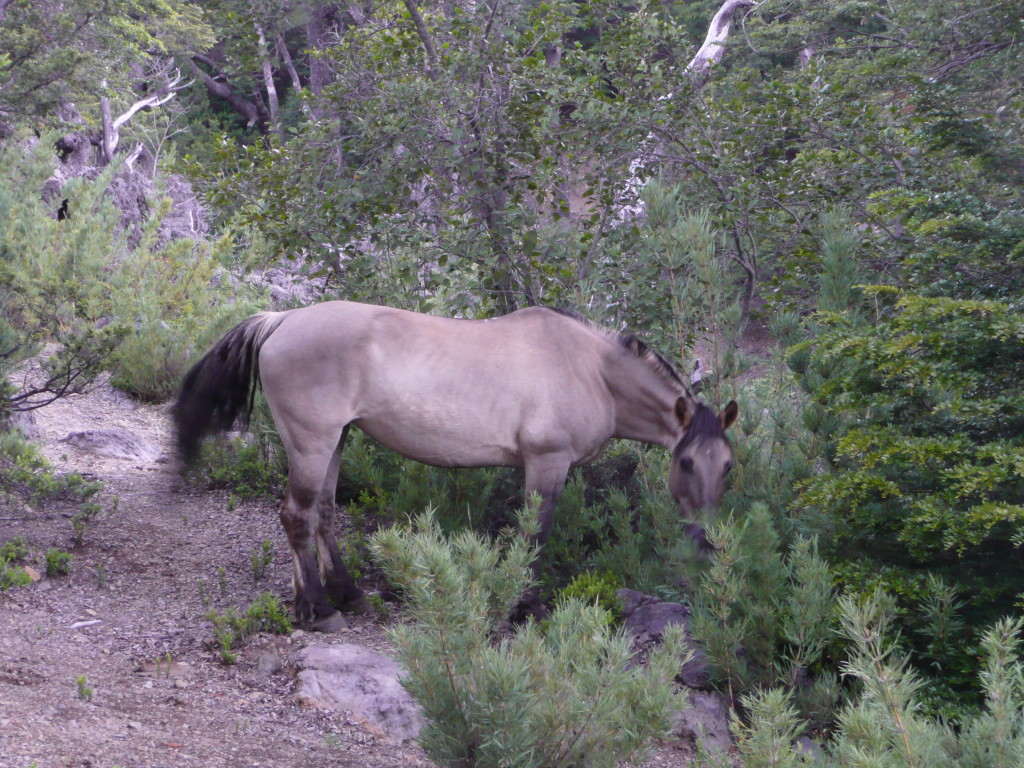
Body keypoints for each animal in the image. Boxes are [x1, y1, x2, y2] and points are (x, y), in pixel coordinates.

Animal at [174, 301, 738, 630]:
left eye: (728, 466)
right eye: (687, 461)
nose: (708, 539)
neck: (590, 369)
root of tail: (282, 320)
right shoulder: (546, 463)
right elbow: (535, 534)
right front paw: (527, 607)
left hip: (336, 440)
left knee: (322, 513)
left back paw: (343, 595)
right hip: (314, 441)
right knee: (297, 514)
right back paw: (318, 609)